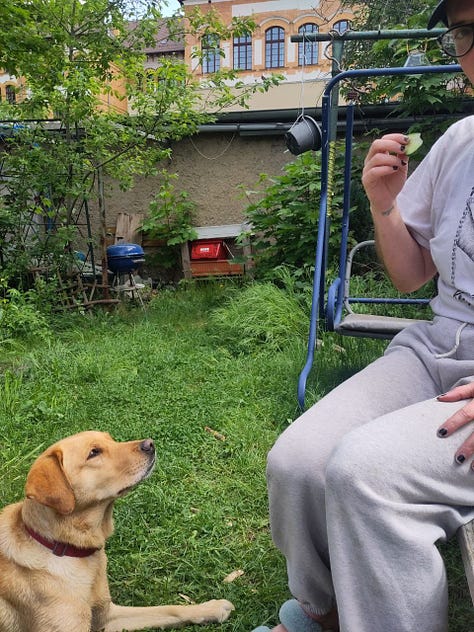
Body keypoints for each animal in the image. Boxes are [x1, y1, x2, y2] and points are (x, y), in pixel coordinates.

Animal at [0, 432, 234, 632]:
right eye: (94, 452)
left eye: (111, 439)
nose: (150, 444)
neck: (67, 549)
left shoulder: (106, 616)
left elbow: (169, 609)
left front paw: (209, 608)